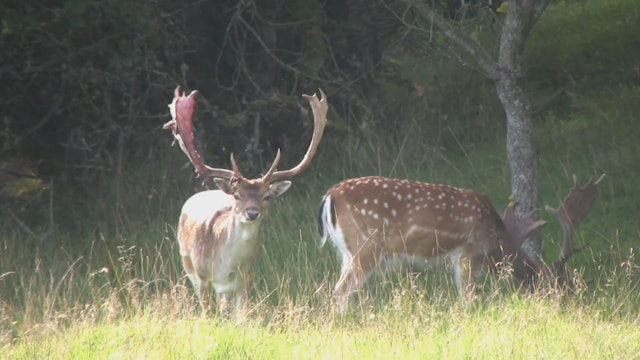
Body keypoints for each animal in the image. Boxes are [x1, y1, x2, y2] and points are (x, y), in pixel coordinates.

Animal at [162, 86, 328, 316]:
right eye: (237, 195)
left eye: (266, 196)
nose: (252, 213)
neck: (227, 268)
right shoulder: (202, 276)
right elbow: (207, 313)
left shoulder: (246, 279)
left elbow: (242, 316)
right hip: (188, 266)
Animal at [320, 173, 604, 310]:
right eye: (562, 289)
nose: (569, 309)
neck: (496, 241)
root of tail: (330, 195)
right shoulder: (469, 254)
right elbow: (467, 298)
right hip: (367, 246)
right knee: (342, 289)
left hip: (347, 252)